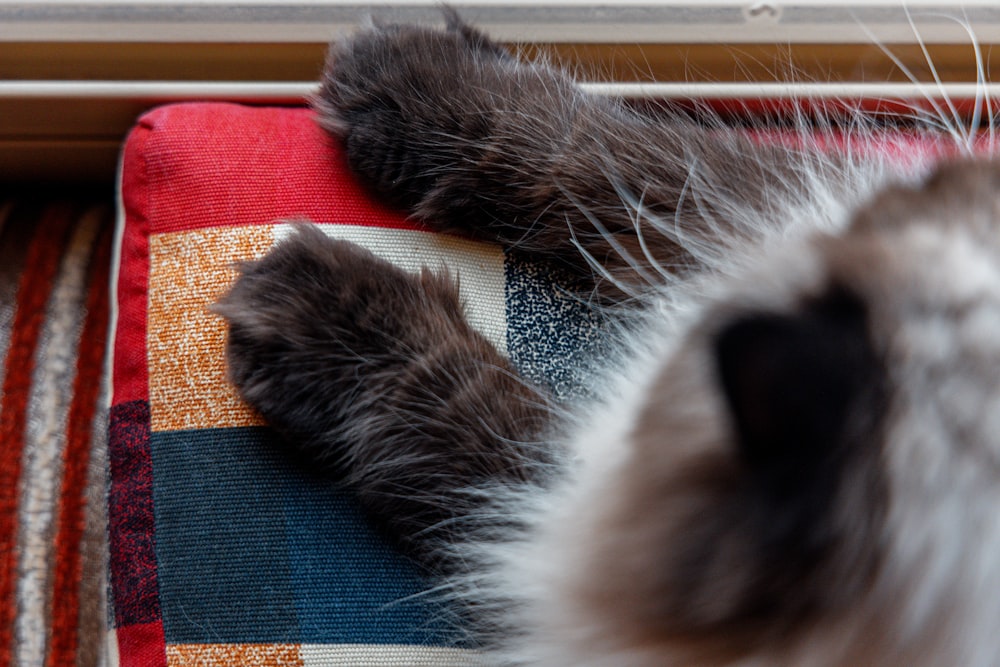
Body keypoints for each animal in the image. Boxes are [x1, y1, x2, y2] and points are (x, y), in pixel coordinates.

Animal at [213, 10, 1000, 667]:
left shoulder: (552, 516)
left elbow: (454, 401)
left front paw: (316, 311)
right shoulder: (757, 217)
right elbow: (615, 153)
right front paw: (404, 76)